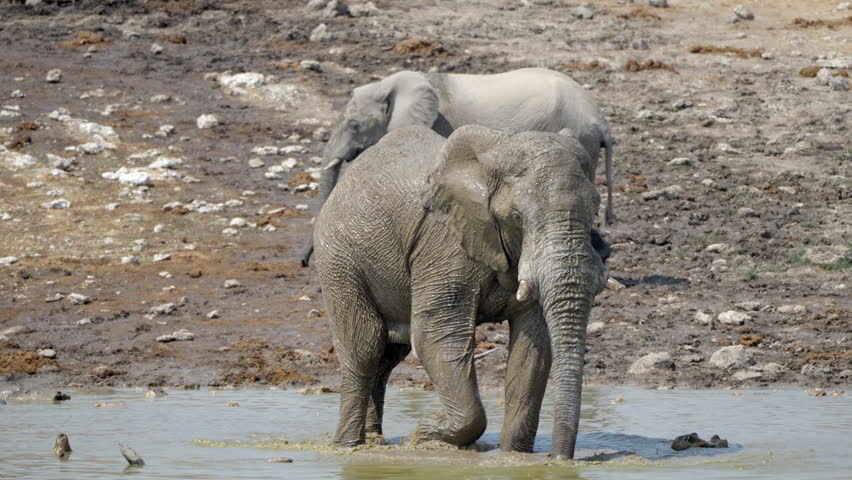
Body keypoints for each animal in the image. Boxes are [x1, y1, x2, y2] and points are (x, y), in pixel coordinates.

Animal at [300, 67, 614, 266]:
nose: (303, 262)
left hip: (578, 140)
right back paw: (601, 252)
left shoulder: (438, 124)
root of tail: (601, 121)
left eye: (354, 125)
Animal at [313, 125, 608, 459]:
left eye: (595, 210)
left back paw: (375, 442)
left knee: (388, 356)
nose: (560, 458)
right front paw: (424, 433)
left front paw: (513, 457)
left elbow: (533, 345)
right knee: (364, 346)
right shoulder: (444, 242)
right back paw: (348, 445)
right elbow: (438, 333)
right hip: (338, 256)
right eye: (517, 217)